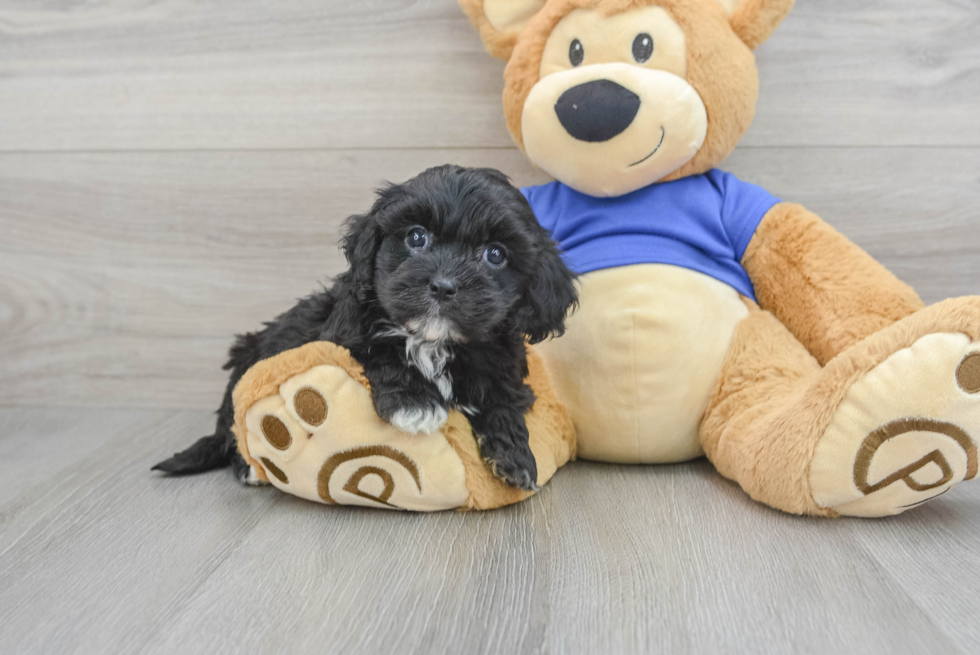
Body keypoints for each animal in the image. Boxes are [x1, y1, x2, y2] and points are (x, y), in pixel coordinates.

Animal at [154, 167, 580, 490]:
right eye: (416, 237)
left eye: (495, 254)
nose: (444, 285)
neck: (436, 341)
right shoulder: (345, 336)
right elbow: (384, 351)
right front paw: (415, 403)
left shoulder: (503, 367)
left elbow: (503, 403)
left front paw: (516, 457)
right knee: (233, 430)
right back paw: (247, 467)